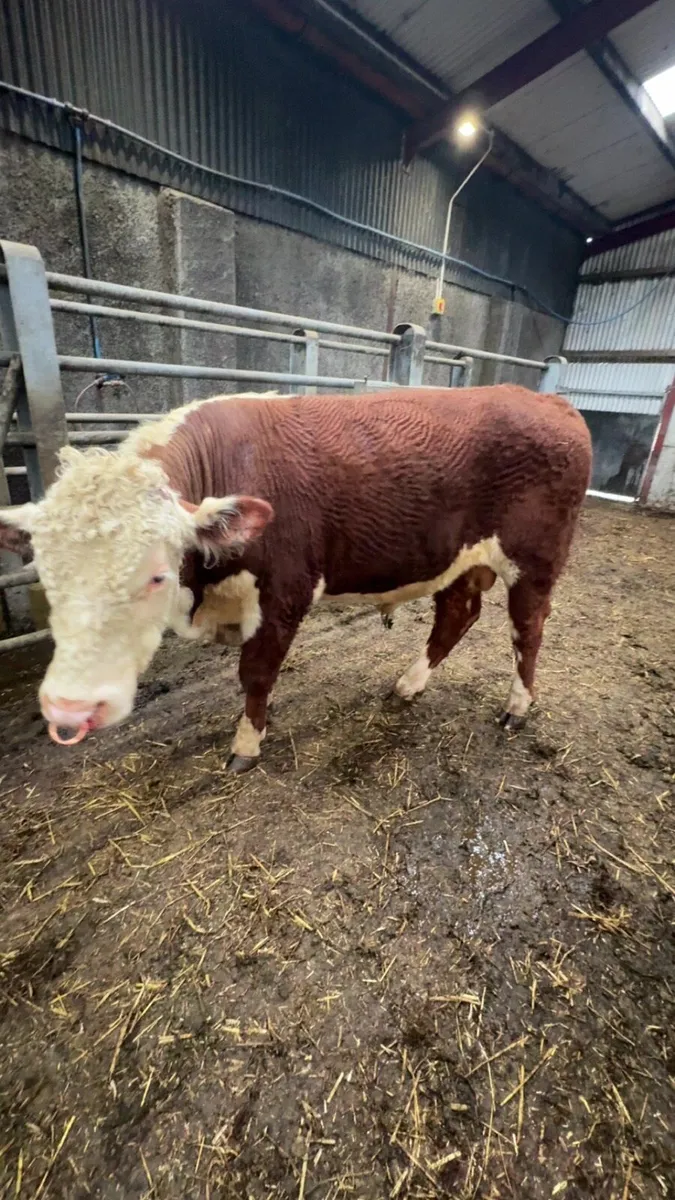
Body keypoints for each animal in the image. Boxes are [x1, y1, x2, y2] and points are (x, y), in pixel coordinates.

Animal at [0, 385, 591, 771]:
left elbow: (256, 675)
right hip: (459, 560)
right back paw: (408, 685)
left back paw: (517, 708)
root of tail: (546, 398)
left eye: (157, 576)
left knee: (528, 630)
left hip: (536, 559)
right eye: (46, 575)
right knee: (457, 615)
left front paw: (246, 746)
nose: (70, 709)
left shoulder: (284, 592)